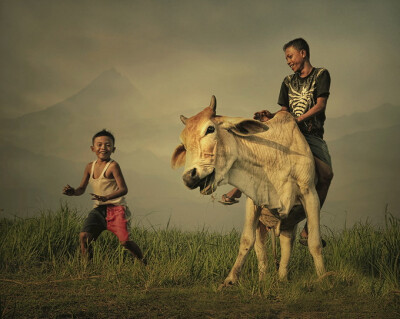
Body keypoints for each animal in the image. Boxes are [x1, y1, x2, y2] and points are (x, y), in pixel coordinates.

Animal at [171, 96, 324, 286]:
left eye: (210, 129)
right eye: (183, 144)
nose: (189, 177)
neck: (275, 156)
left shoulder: (310, 195)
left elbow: (315, 243)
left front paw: (324, 277)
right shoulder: (255, 200)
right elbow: (247, 240)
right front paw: (230, 279)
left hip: (290, 220)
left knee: (287, 244)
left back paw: (282, 278)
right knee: (264, 249)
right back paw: (264, 279)